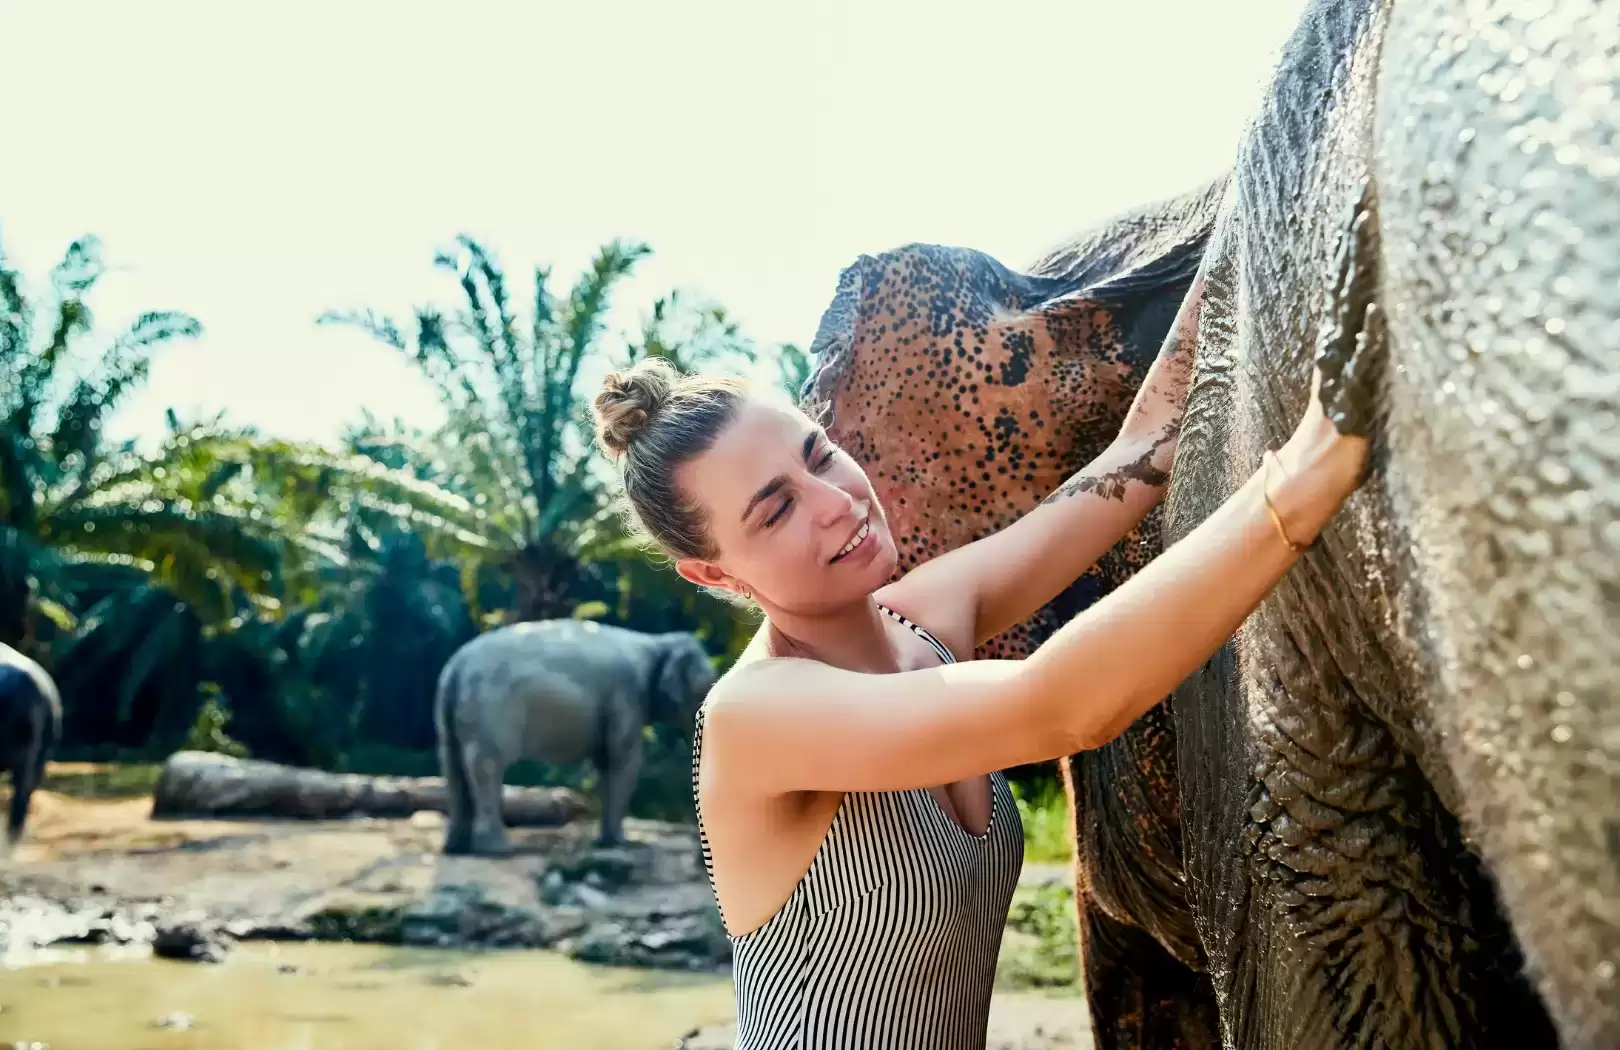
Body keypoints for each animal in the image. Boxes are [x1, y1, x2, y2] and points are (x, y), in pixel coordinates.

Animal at [434, 619, 716, 855]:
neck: (657, 642)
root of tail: (455, 667)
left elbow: (605, 761)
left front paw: (606, 842)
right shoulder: (626, 696)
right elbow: (624, 761)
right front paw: (620, 843)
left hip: (454, 716)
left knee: (453, 764)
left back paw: (456, 848)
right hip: (490, 709)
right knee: (486, 765)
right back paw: (499, 850)